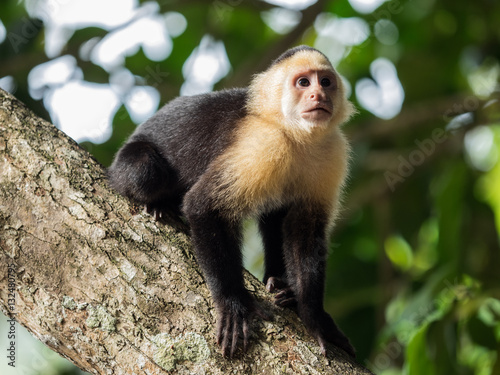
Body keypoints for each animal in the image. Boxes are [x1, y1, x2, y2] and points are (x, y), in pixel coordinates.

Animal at [109, 45, 356, 360]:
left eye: (325, 82)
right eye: (303, 83)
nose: (318, 96)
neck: (296, 135)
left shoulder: (332, 152)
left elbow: (305, 231)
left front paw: (314, 317)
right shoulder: (262, 143)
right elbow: (203, 205)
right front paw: (232, 304)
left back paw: (281, 286)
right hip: (127, 165)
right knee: (146, 172)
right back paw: (159, 204)